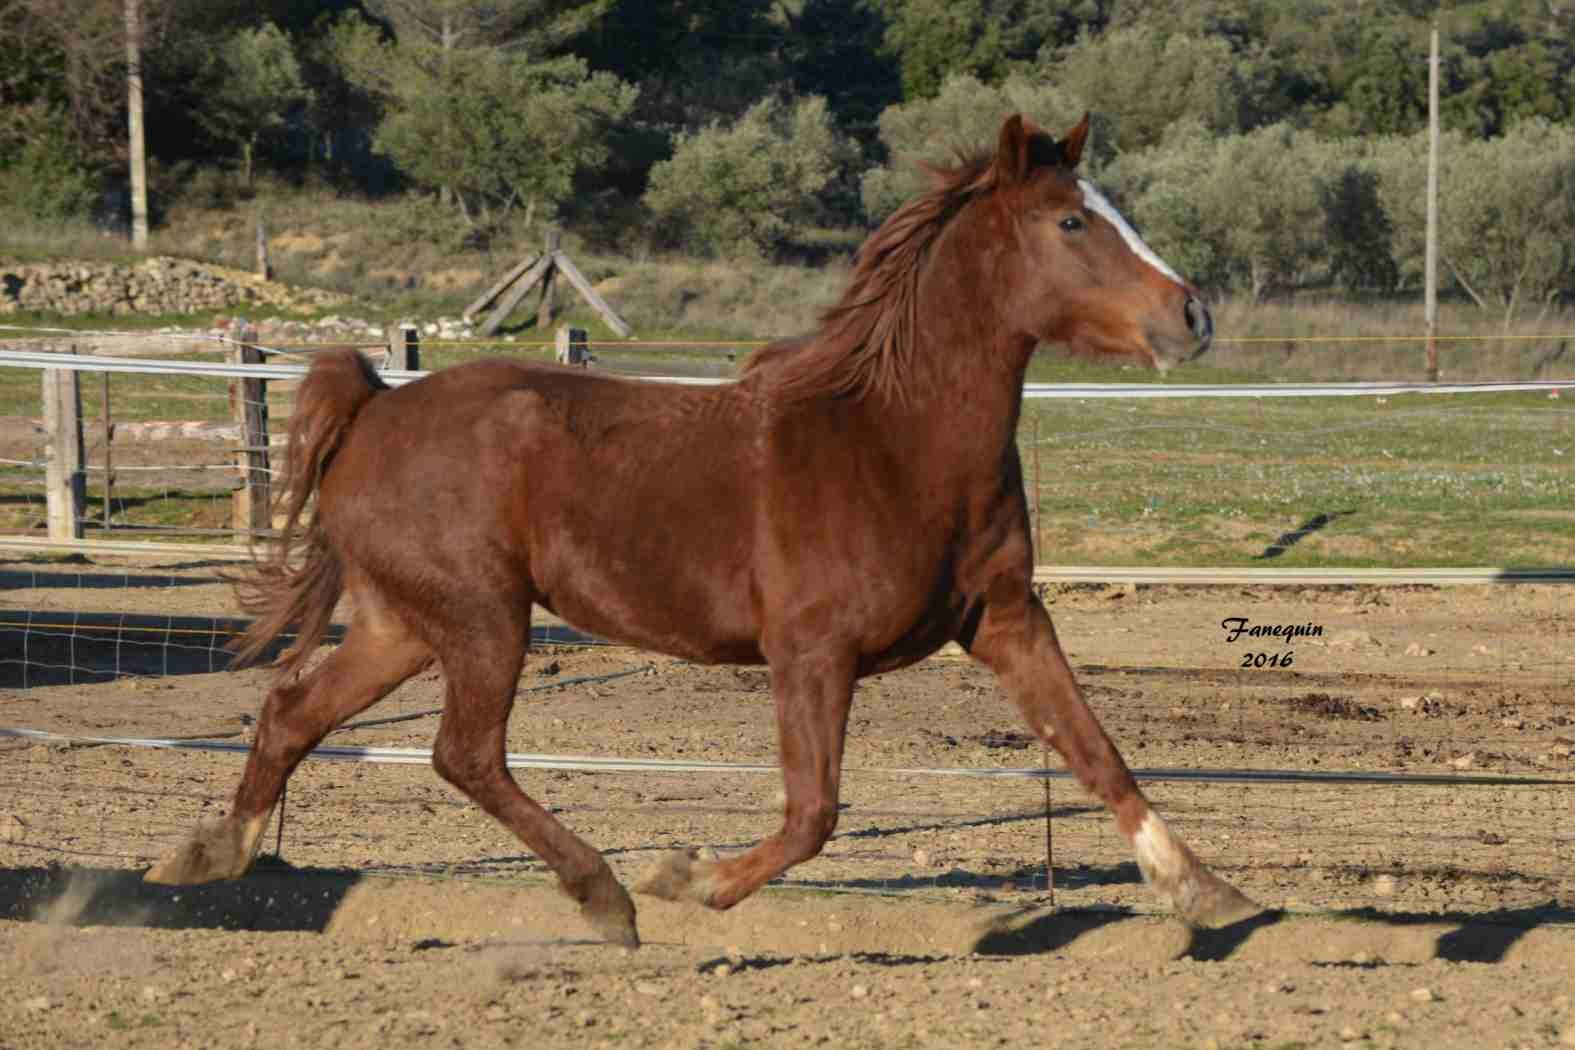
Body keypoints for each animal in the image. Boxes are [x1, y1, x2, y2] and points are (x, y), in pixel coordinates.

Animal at [144, 114, 1253, 944]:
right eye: (1072, 221)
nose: (1193, 317)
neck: (894, 441)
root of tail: (374, 405)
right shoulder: (811, 653)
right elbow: (813, 813)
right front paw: (691, 879)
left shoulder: (1008, 621)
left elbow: (1096, 751)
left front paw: (1210, 895)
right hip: (482, 619)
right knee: (462, 754)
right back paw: (608, 896)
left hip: (401, 625)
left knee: (294, 712)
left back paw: (206, 857)